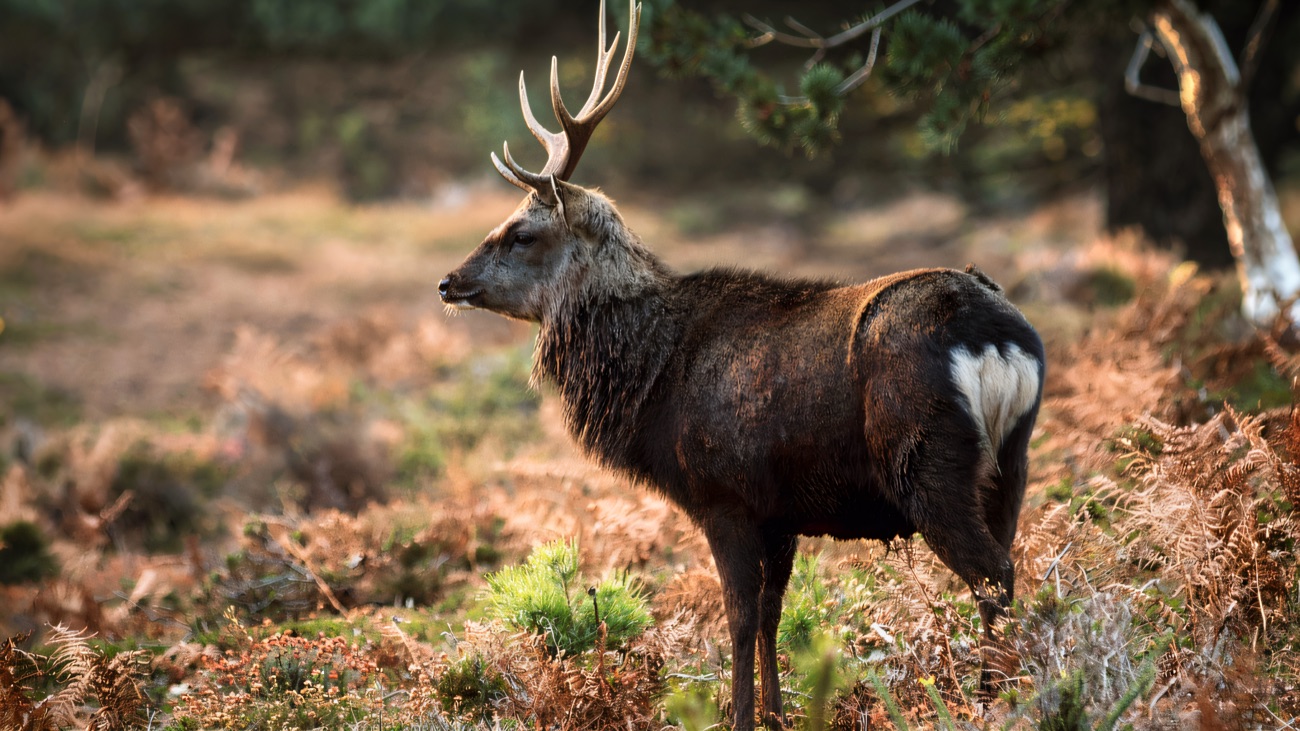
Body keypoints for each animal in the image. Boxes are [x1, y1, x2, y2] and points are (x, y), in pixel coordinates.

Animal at [438, 2, 1045, 729]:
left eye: (522, 232)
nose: (448, 281)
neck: (651, 379)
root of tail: (1001, 339)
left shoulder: (722, 494)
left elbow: (738, 616)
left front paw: (741, 715)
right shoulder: (779, 510)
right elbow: (775, 613)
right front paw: (781, 712)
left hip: (928, 459)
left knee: (993, 575)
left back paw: (991, 699)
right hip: (1012, 461)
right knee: (1008, 561)